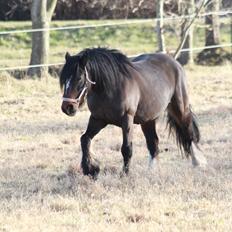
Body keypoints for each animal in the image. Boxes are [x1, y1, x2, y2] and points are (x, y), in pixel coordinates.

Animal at [59, 47, 207, 178]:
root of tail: (175, 63)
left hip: (180, 109)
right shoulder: (98, 119)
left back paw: (198, 162)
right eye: (64, 79)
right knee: (153, 144)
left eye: (79, 78)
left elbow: (126, 148)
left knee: (188, 133)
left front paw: (124, 174)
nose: (67, 107)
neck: (111, 87)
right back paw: (151, 171)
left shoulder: (127, 119)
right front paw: (90, 169)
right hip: (148, 120)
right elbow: (85, 139)